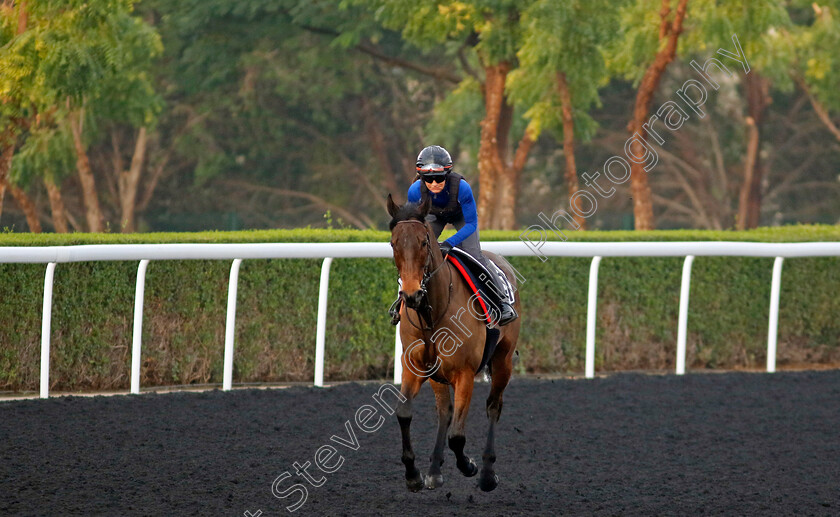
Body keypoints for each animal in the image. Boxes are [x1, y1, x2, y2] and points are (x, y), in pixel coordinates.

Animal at [386, 194, 520, 492]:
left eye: (424, 242)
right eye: (393, 243)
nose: (411, 295)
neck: (432, 314)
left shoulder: (464, 373)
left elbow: (458, 436)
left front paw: (469, 465)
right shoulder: (414, 367)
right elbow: (404, 413)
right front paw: (413, 474)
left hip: (503, 360)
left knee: (494, 406)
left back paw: (487, 473)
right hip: (438, 374)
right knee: (444, 412)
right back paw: (434, 471)